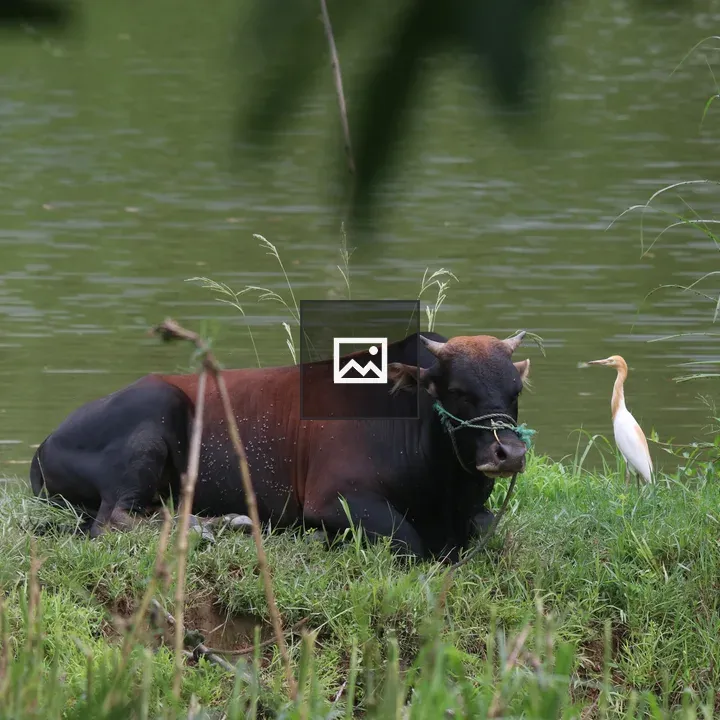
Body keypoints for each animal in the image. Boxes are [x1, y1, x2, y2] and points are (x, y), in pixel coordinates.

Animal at [29, 330, 531, 561]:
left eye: (515, 392)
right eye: (459, 391)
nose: (508, 453)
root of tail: (45, 443)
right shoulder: (334, 498)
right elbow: (409, 541)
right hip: (154, 412)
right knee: (112, 519)